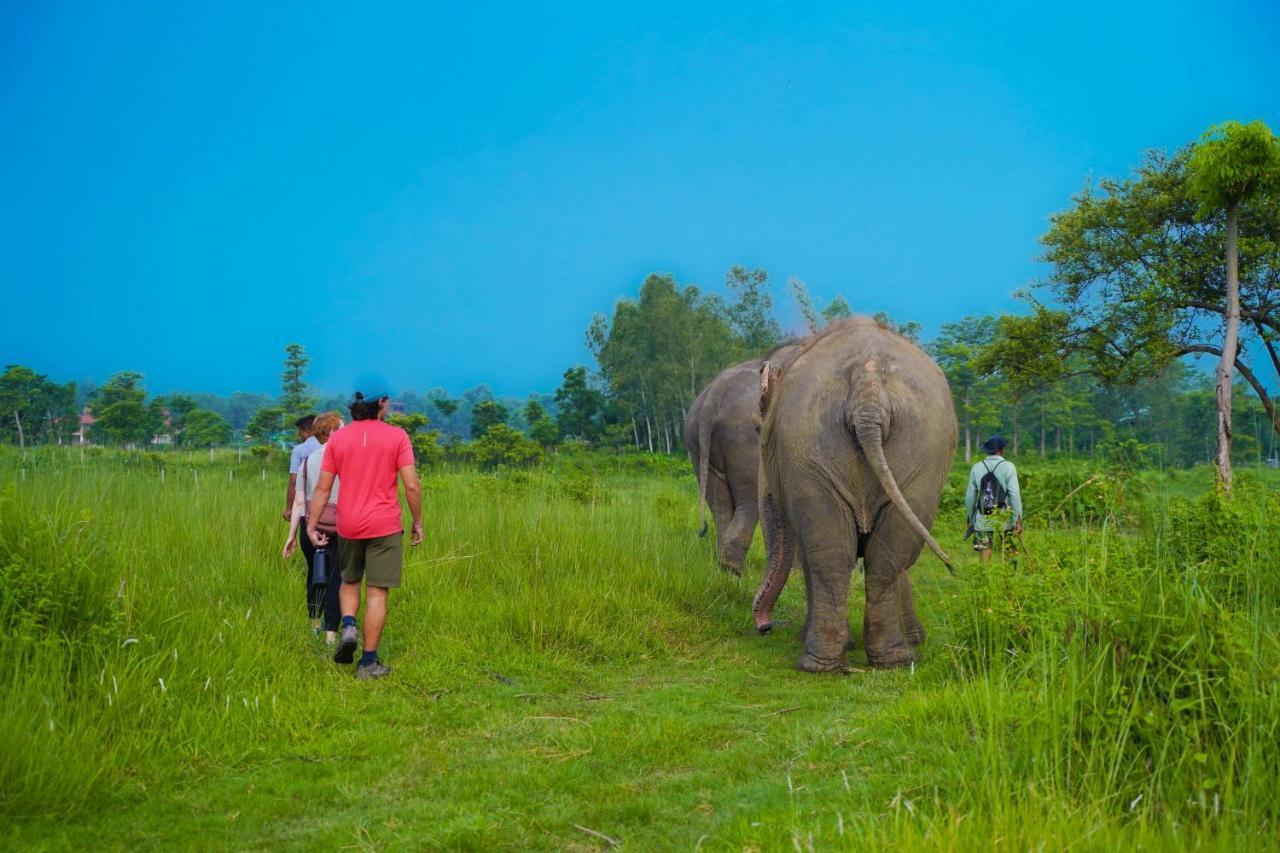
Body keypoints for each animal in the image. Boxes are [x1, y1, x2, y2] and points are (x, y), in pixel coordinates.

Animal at [691, 343, 798, 573]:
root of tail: (714, 394)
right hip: (744, 443)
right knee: (748, 501)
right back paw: (733, 568)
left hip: (696, 443)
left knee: (719, 504)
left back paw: (725, 567)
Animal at [752, 315, 957, 666]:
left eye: (760, 433)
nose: (765, 628)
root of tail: (867, 387)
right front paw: (913, 639)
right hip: (904, 452)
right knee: (878, 554)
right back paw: (890, 659)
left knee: (838, 554)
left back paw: (823, 662)